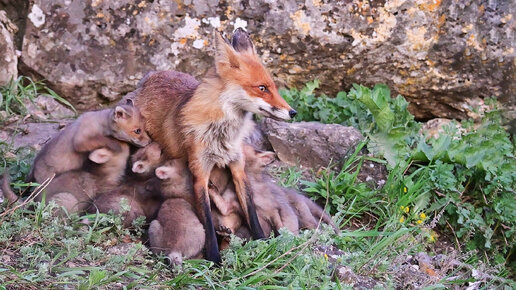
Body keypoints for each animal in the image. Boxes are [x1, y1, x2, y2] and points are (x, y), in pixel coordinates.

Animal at [132, 28, 294, 264]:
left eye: (273, 87)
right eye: (262, 88)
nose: (293, 112)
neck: (221, 135)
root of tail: (152, 75)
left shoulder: (237, 166)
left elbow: (251, 210)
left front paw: (261, 242)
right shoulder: (199, 172)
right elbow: (208, 222)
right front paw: (215, 258)